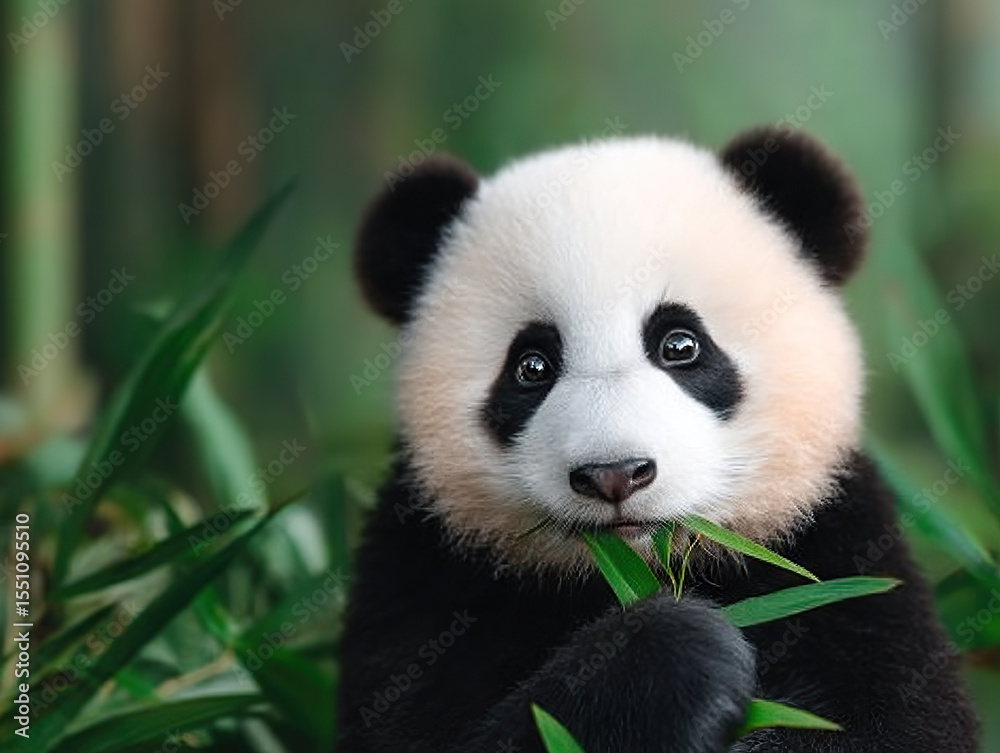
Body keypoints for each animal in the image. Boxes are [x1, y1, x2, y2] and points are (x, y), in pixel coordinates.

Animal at [336, 127, 977, 752]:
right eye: (531, 366)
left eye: (680, 345)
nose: (614, 473)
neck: (631, 572)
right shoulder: (424, 568)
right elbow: (416, 732)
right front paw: (676, 653)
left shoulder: (839, 551)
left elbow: (894, 724)